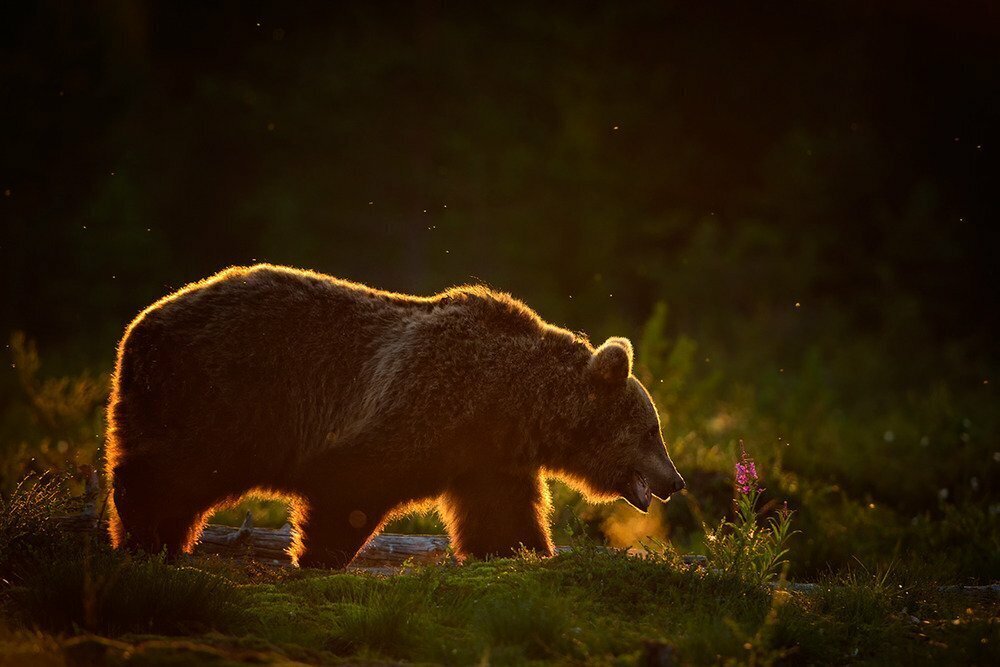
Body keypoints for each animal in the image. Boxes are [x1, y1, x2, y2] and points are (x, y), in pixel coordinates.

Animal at [105, 264, 684, 568]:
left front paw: (524, 552)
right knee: (174, 469)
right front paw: (319, 555)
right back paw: (146, 537)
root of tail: (136, 329)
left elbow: (501, 515)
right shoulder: (422, 404)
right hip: (219, 394)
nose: (674, 479)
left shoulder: (488, 457)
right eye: (652, 430)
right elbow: (353, 482)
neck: (513, 403)